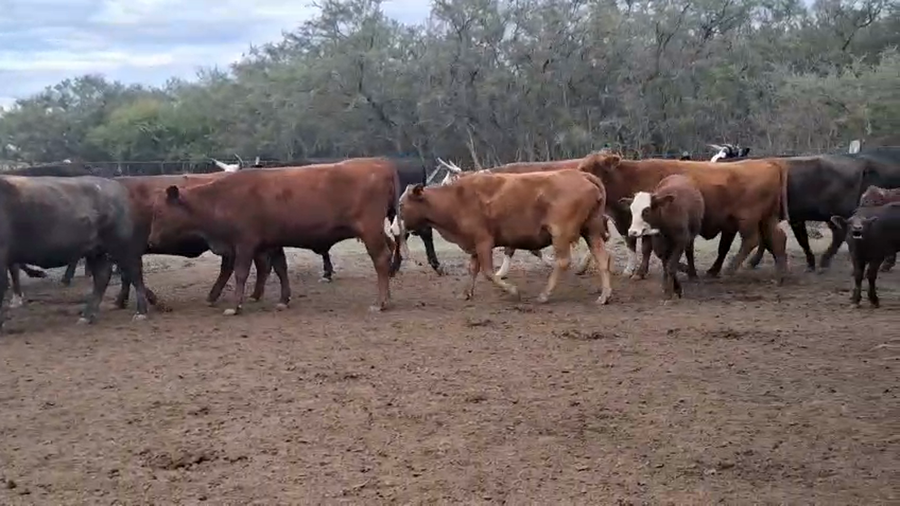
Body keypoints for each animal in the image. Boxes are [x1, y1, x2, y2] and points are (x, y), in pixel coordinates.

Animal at [0, 175, 149, 330]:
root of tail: (121, 189)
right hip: (97, 251)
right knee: (102, 277)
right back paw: (87, 316)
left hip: (124, 248)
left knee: (134, 275)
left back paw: (141, 312)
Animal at [148, 158, 405, 315]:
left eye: (160, 212)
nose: (150, 240)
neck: (222, 199)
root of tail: (378, 162)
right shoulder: (271, 243)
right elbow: (280, 268)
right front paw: (283, 300)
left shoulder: (244, 244)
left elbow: (241, 273)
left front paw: (235, 306)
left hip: (370, 231)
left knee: (381, 259)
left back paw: (381, 302)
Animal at [396, 169, 613, 304]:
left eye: (401, 204)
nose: (393, 228)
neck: (455, 199)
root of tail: (583, 175)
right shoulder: (474, 244)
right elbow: (472, 269)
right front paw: (466, 293)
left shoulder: (484, 242)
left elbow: (488, 272)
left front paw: (513, 291)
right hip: (591, 230)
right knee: (601, 257)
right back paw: (605, 296)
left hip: (560, 233)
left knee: (563, 261)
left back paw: (544, 294)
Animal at [577, 152, 790, 285]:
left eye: (589, 169)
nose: (578, 180)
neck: (631, 176)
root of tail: (768, 163)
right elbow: (651, 249)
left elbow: (649, 248)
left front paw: (640, 272)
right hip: (767, 219)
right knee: (778, 238)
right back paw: (779, 276)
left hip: (748, 219)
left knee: (751, 240)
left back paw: (729, 269)